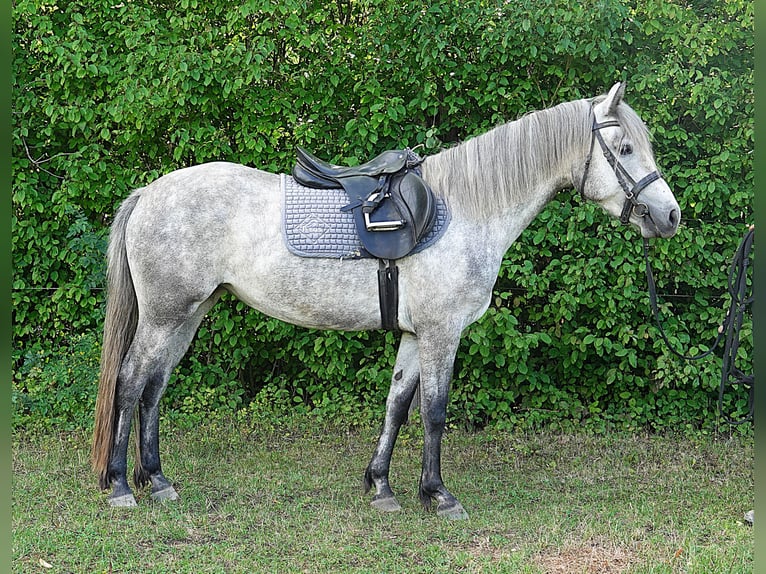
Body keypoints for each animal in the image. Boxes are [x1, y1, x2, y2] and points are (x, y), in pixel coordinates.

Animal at [91, 82, 680, 519]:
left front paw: (381, 487)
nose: (670, 216)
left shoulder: (416, 334)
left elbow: (397, 404)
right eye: (625, 149)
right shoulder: (442, 332)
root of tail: (148, 193)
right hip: (165, 316)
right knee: (131, 381)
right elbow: (434, 411)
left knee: (154, 388)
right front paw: (439, 495)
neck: (467, 209)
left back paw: (158, 480)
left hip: (188, 316)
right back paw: (120, 486)